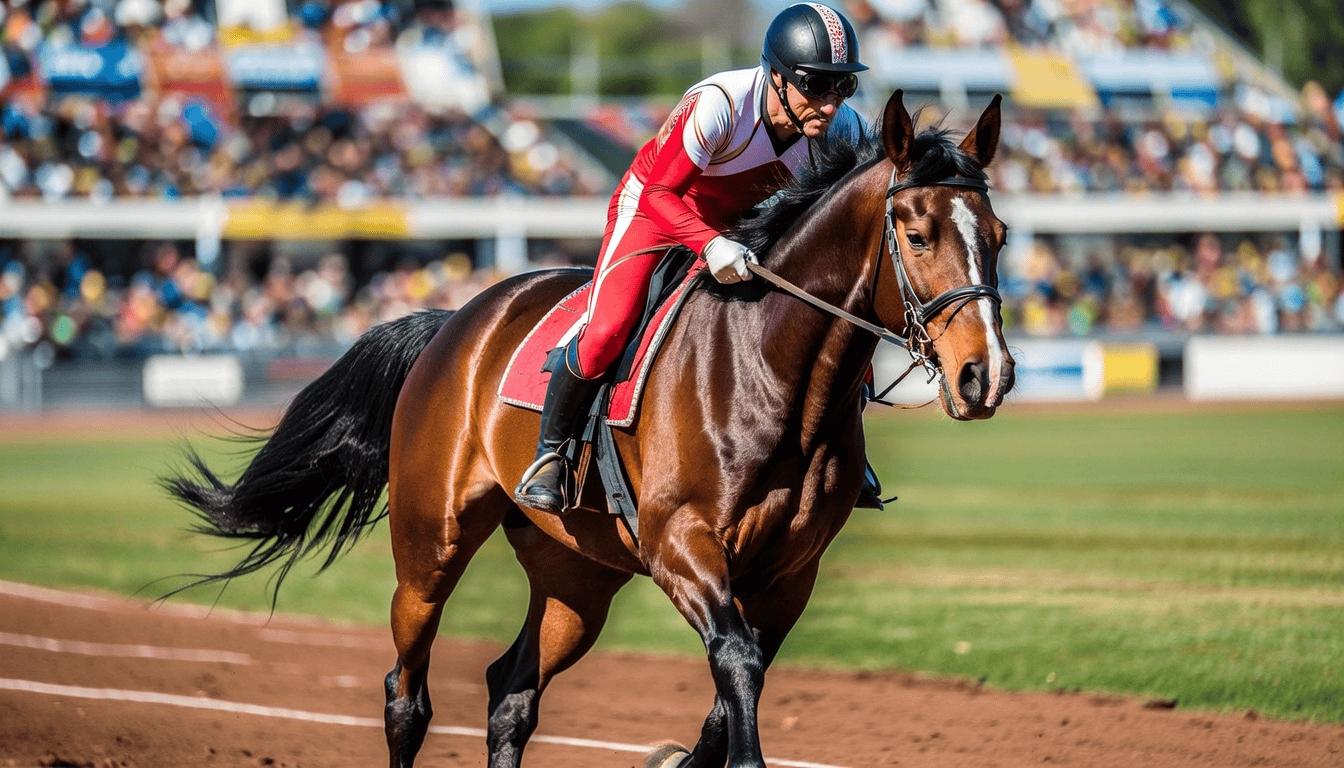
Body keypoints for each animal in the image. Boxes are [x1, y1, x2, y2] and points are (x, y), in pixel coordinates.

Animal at [163, 90, 1015, 768]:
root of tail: (456, 320)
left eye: (1000, 234)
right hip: (431, 544)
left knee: (510, 691)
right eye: (915, 233)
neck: (770, 372)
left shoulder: (788, 574)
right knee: (407, 691)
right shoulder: (681, 546)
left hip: (577, 573)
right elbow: (735, 664)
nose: (988, 375)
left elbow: (732, 686)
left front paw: (677, 759)